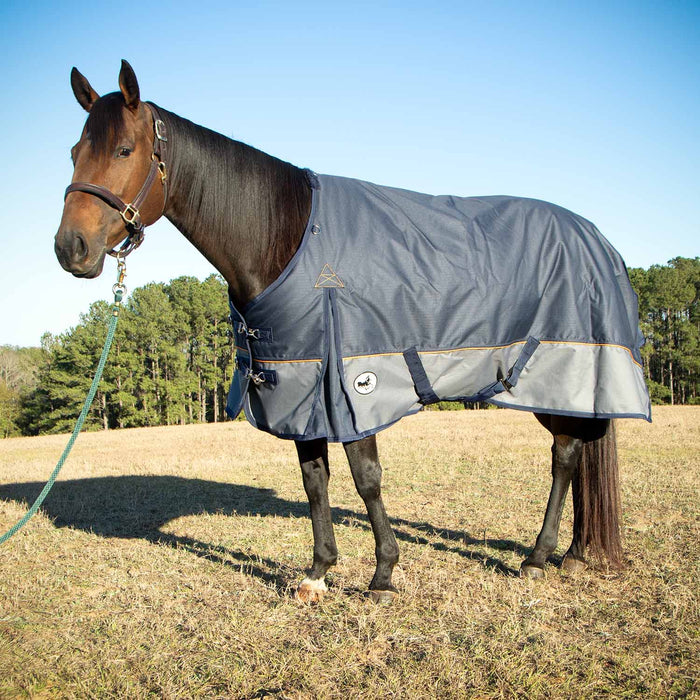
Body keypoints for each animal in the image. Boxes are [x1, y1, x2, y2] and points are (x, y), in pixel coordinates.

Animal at [55, 60, 645, 603]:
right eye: (73, 151)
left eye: (124, 150)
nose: (70, 249)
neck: (286, 237)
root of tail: (599, 240)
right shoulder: (300, 387)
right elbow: (315, 481)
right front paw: (318, 573)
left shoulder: (356, 384)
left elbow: (367, 479)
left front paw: (382, 576)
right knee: (579, 451)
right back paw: (571, 553)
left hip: (557, 376)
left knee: (565, 456)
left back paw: (539, 557)